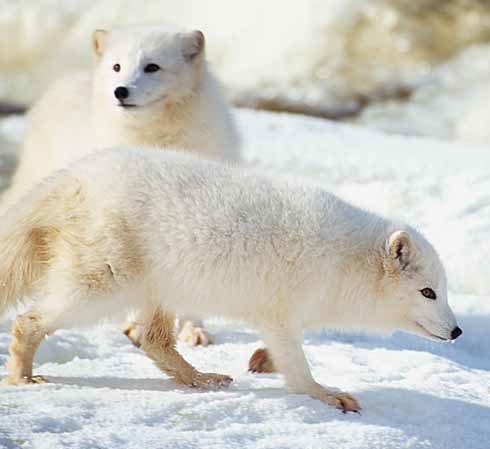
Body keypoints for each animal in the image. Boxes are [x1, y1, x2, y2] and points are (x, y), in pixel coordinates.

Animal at [0, 149, 462, 412]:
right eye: (428, 292)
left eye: (443, 290)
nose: (457, 331)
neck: (345, 263)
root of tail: (72, 176)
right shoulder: (281, 309)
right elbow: (297, 367)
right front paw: (324, 394)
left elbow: (281, 351)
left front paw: (262, 362)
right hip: (103, 283)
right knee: (28, 320)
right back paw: (22, 375)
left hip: (158, 286)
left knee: (153, 340)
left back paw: (199, 378)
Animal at [2, 24, 241, 346]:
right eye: (117, 67)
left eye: (152, 67)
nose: (120, 91)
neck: (154, 138)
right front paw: (139, 326)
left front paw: (194, 328)